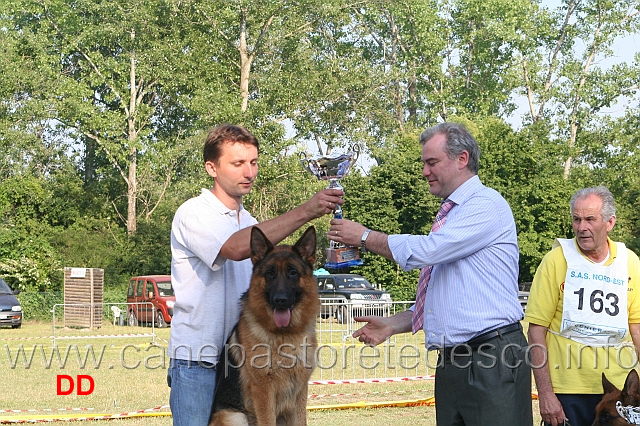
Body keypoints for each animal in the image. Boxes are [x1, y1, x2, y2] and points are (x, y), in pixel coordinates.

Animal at [210, 226, 320, 426]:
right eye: (270, 273)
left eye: (293, 272)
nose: (280, 300)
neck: (286, 334)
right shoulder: (264, 391)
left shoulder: (300, 390)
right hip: (235, 416)